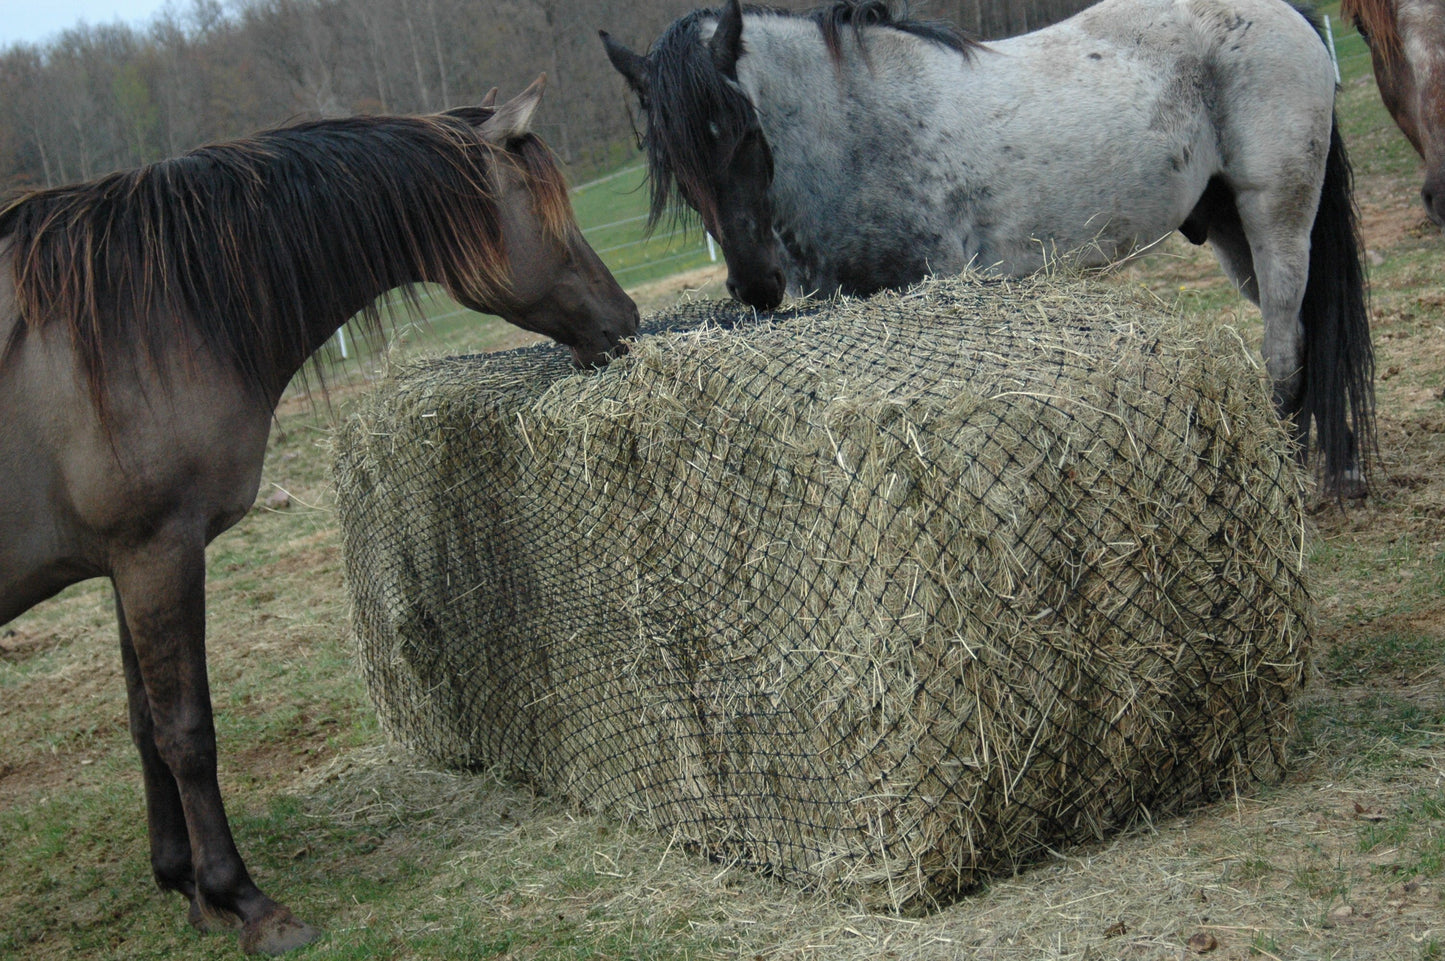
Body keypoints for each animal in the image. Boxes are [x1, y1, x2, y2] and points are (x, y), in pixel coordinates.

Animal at [0, 76, 638, 953]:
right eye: (548, 214)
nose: (626, 323)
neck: (145, 319)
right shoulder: (158, 550)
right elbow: (186, 732)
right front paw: (246, 901)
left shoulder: (121, 563)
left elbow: (142, 724)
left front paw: (185, 884)